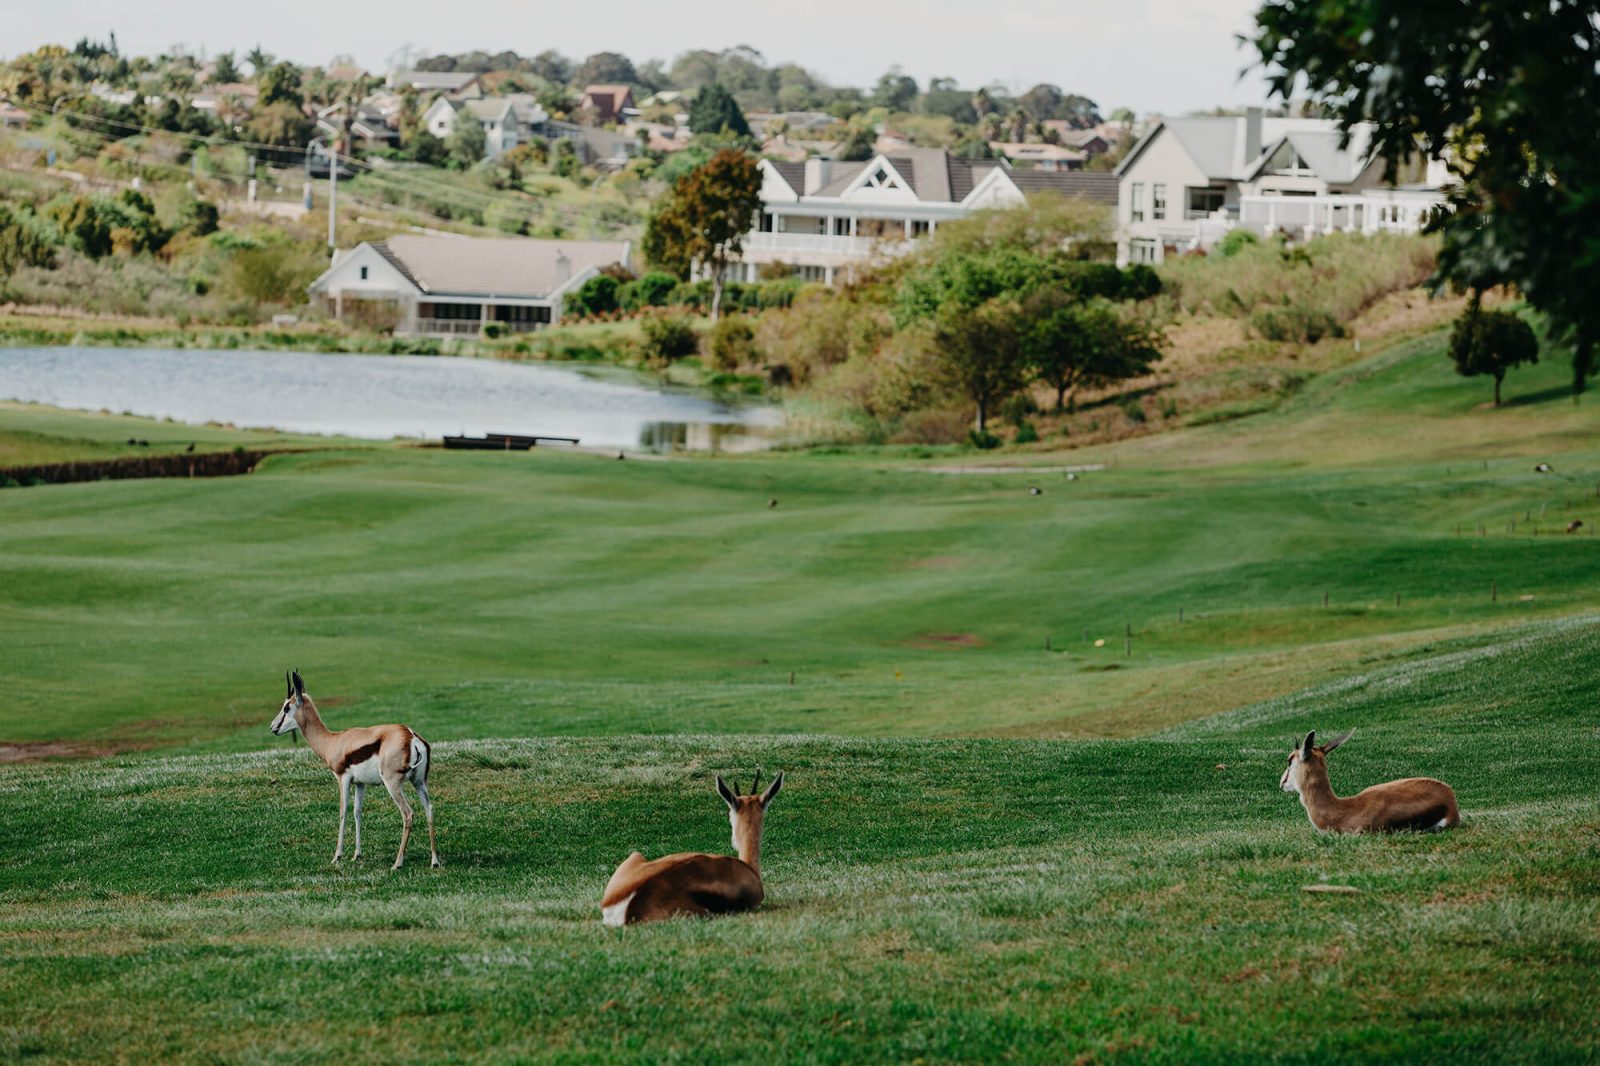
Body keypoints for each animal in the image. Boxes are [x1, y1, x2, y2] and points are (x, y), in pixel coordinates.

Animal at [270, 669, 441, 870]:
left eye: (286, 708)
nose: (273, 727)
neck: (332, 741)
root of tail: (410, 736)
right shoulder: (360, 783)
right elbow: (357, 812)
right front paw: (356, 855)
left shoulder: (342, 778)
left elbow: (343, 812)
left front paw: (337, 856)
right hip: (419, 782)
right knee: (429, 808)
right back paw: (434, 860)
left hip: (392, 784)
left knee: (408, 814)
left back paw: (397, 863)